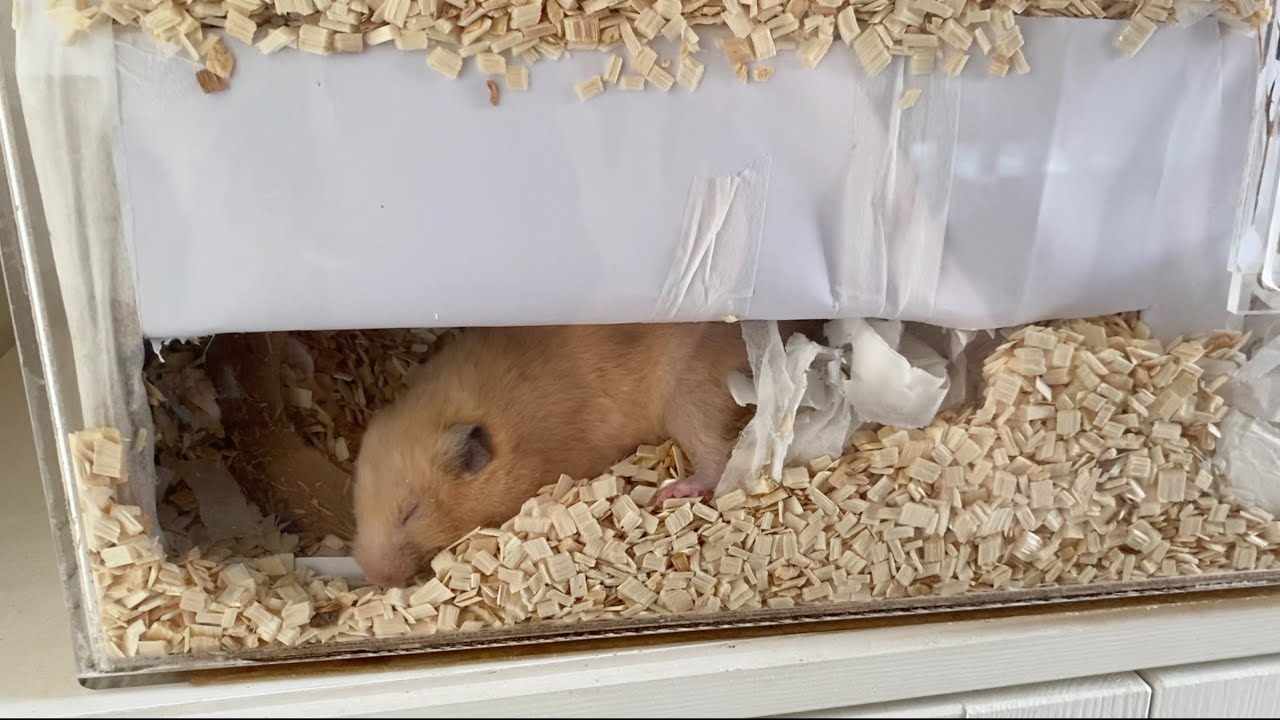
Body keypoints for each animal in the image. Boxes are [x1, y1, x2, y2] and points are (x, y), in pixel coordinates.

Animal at [352, 322, 769, 587]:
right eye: (358, 512)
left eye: (412, 513)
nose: (375, 578)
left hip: (691, 392)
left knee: (716, 457)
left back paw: (671, 492)